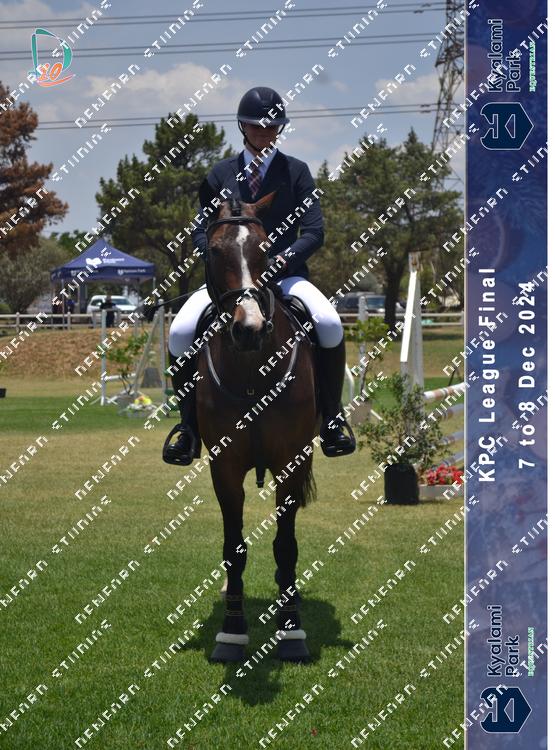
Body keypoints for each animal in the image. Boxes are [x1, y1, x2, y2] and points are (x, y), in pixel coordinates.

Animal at [195, 194, 319, 663]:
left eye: (266, 248)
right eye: (214, 251)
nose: (247, 329)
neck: (252, 370)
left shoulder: (291, 461)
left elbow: (285, 544)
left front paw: (291, 630)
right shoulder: (224, 466)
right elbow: (234, 548)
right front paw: (232, 632)